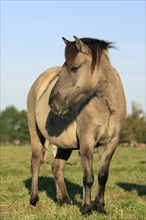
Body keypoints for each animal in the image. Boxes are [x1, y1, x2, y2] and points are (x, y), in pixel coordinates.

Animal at [26, 36, 126, 215]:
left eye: (75, 68)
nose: (52, 103)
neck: (105, 107)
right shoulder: (87, 142)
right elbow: (88, 177)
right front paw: (86, 209)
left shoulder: (112, 142)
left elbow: (102, 176)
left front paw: (100, 207)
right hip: (36, 136)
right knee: (36, 162)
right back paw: (34, 199)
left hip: (64, 145)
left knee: (57, 167)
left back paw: (64, 200)